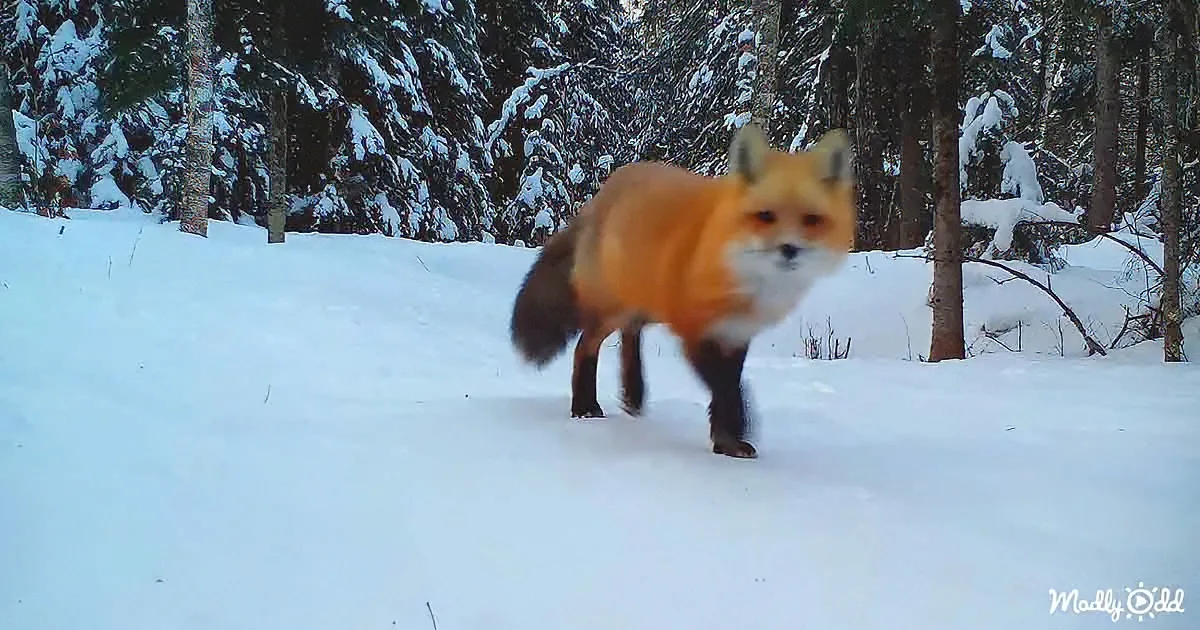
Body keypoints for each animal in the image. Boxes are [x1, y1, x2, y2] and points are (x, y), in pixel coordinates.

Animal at [508, 123, 856, 459]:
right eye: (765, 216)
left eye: (811, 220)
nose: (789, 249)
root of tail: (603, 193)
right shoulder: (693, 331)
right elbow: (728, 391)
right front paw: (734, 433)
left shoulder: (737, 334)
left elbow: (729, 387)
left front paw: (725, 440)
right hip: (614, 308)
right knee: (585, 347)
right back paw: (584, 407)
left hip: (647, 304)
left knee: (630, 334)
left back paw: (633, 393)